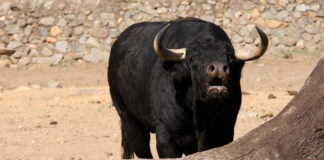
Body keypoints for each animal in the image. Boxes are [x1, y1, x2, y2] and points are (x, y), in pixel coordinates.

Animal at [107, 17, 268, 159]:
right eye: (193, 58)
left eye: (230, 57)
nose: (218, 68)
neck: (199, 115)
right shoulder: (167, 138)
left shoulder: (224, 132)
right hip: (129, 118)